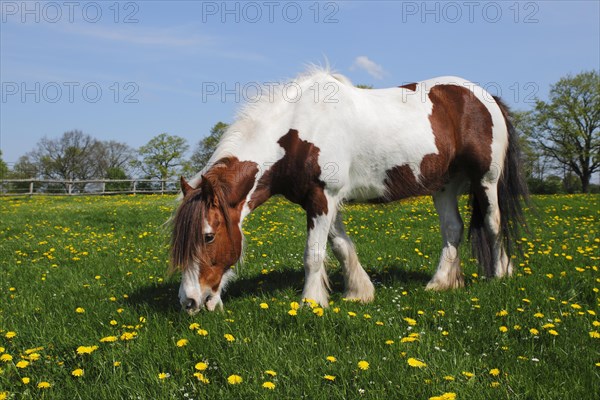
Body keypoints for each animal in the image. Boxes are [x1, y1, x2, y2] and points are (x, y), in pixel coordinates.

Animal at [169, 67, 524, 314]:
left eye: (208, 236)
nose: (189, 301)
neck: (297, 131)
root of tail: (486, 97)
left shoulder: (323, 196)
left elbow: (313, 255)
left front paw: (311, 303)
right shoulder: (321, 201)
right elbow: (341, 246)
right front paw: (359, 292)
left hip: (486, 180)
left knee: (493, 224)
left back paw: (500, 275)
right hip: (444, 186)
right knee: (453, 229)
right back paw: (440, 283)